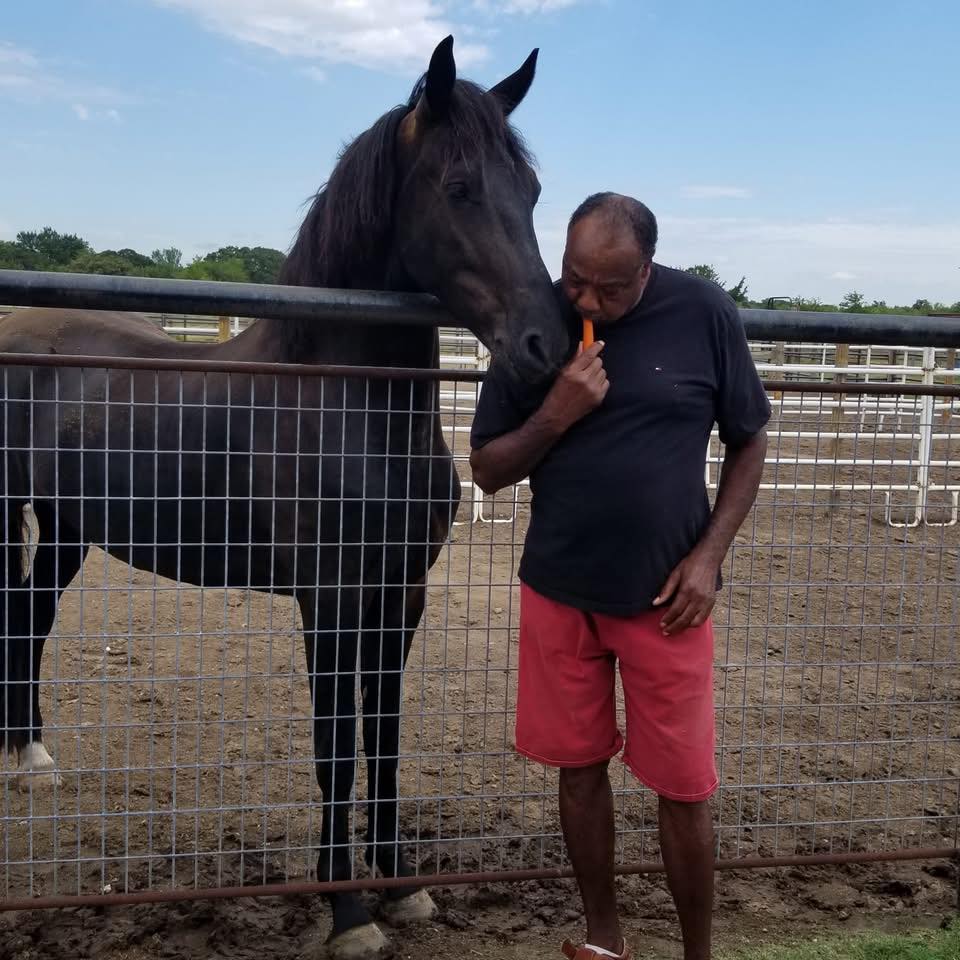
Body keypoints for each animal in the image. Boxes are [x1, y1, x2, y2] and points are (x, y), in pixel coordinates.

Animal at [0, 35, 568, 958]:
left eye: (532, 192)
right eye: (459, 187)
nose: (545, 348)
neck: (344, 405)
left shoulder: (399, 596)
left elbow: (386, 738)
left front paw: (402, 887)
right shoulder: (329, 599)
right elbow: (336, 747)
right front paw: (349, 913)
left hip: (68, 529)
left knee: (30, 618)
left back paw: (32, 757)